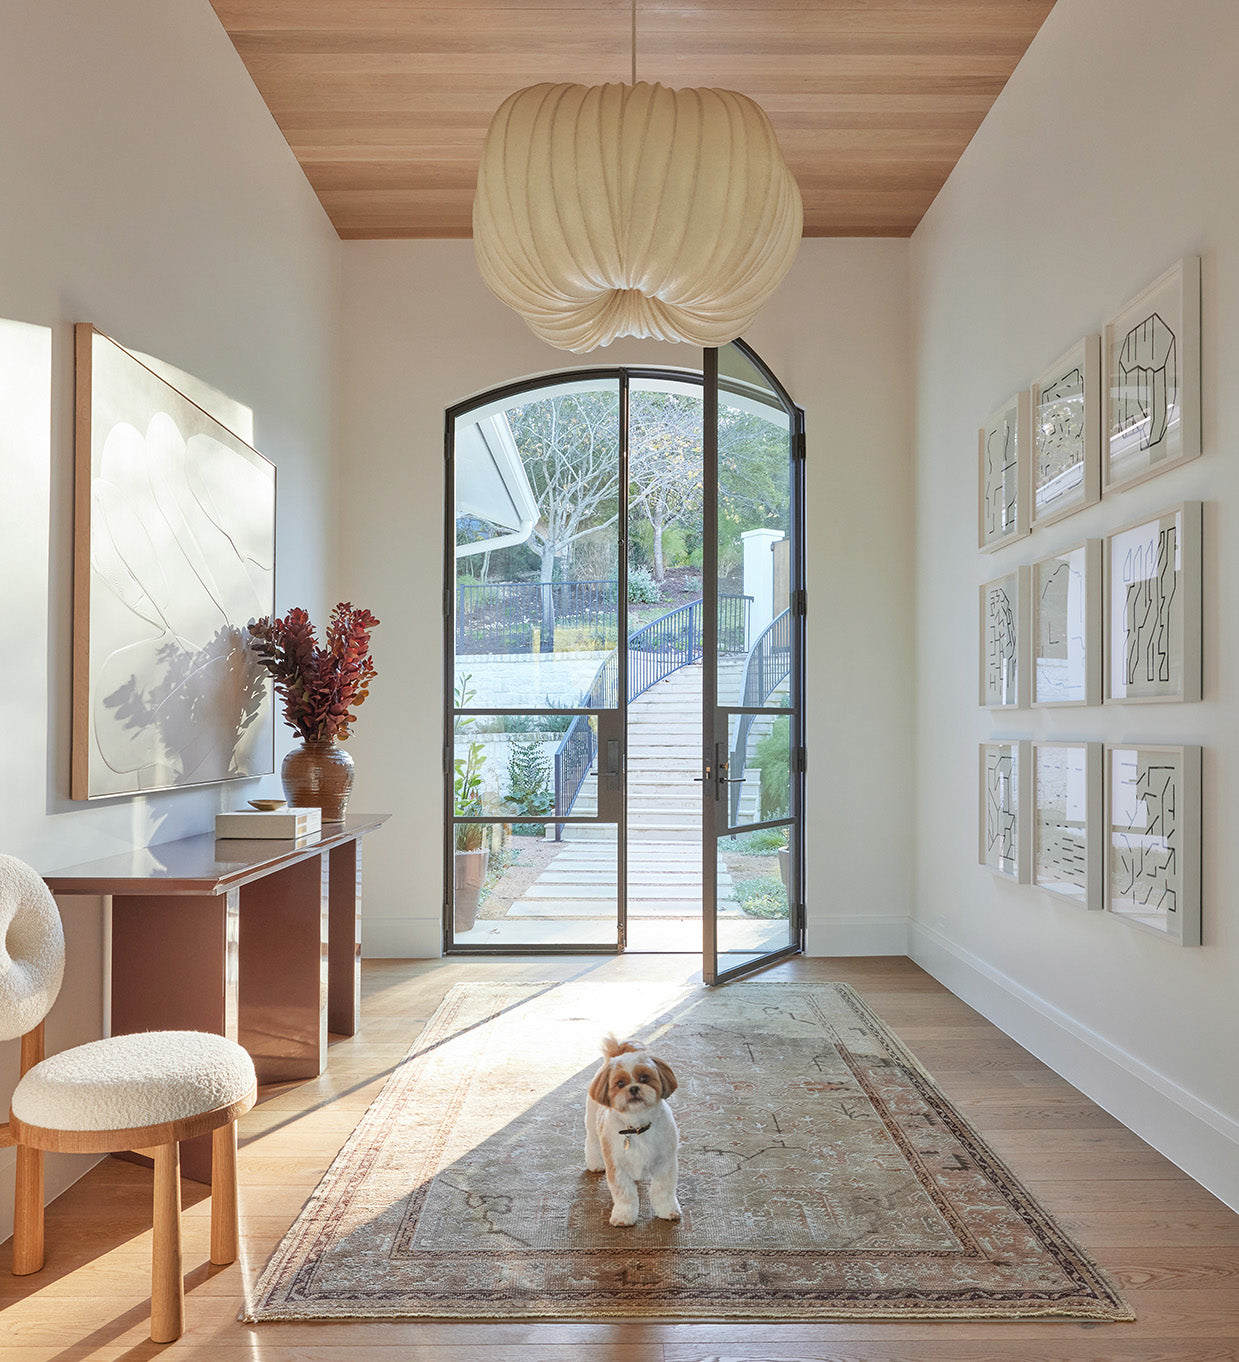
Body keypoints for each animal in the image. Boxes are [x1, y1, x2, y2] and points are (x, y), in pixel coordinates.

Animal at [588, 1029, 683, 1225]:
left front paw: (667, 1211)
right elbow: (625, 1195)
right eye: (620, 1083)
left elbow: (663, 1190)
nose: (633, 1088)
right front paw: (623, 1216)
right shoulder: (617, 1167)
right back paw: (594, 1163)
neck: (638, 1127)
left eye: (644, 1078)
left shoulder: (665, 1164)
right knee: (591, 1143)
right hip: (592, 1127)